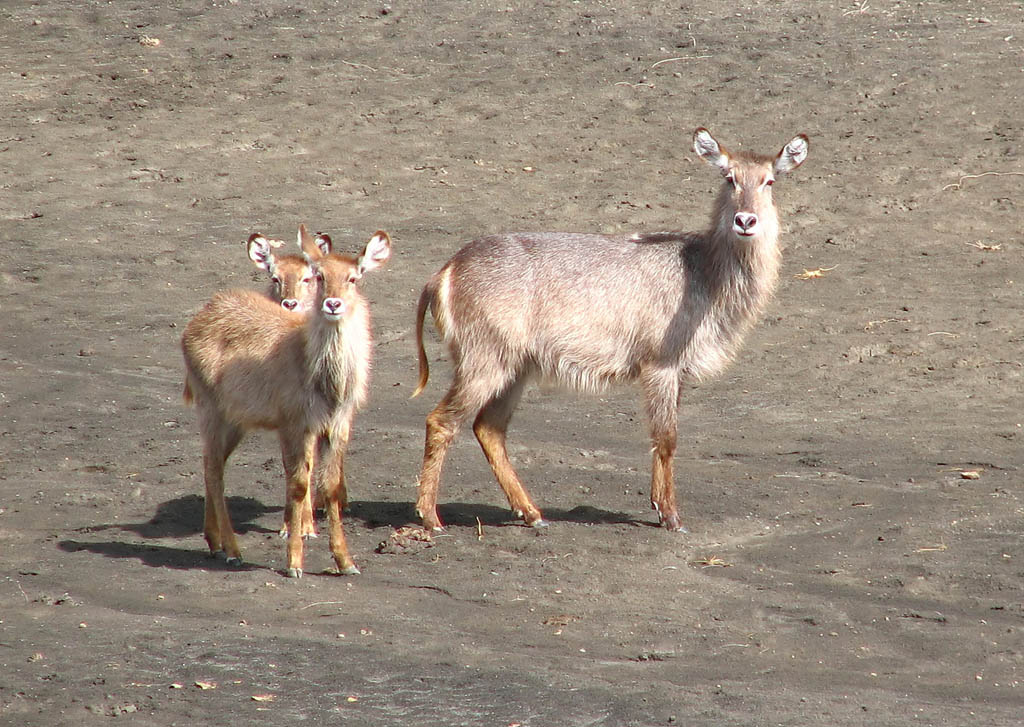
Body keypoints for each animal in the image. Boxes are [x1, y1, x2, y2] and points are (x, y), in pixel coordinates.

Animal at [184, 230, 391, 577]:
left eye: (353, 277)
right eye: (320, 276)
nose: (332, 303)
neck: (328, 384)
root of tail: (194, 323)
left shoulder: (338, 423)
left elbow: (329, 486)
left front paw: (346, 561)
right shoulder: (296, 423)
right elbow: (298, 484)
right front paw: (294, 561)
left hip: (236, 420)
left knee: (211, 464)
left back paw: (214, 542)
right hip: (210, 408)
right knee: (214, 470)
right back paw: (232, 550)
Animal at [413, 127, 806, 532]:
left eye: (769, 180)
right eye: (729, 178)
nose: (745, 221)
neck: (704, 271)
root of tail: (446, 270)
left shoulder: (678, 370)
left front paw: (659, 507)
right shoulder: (661, 364)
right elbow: (667, 437)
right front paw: (671, 517)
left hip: (515, 367)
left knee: (488, 428)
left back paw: (533, 514)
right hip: (484, 359)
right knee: (440, 421)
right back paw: (431, 517)